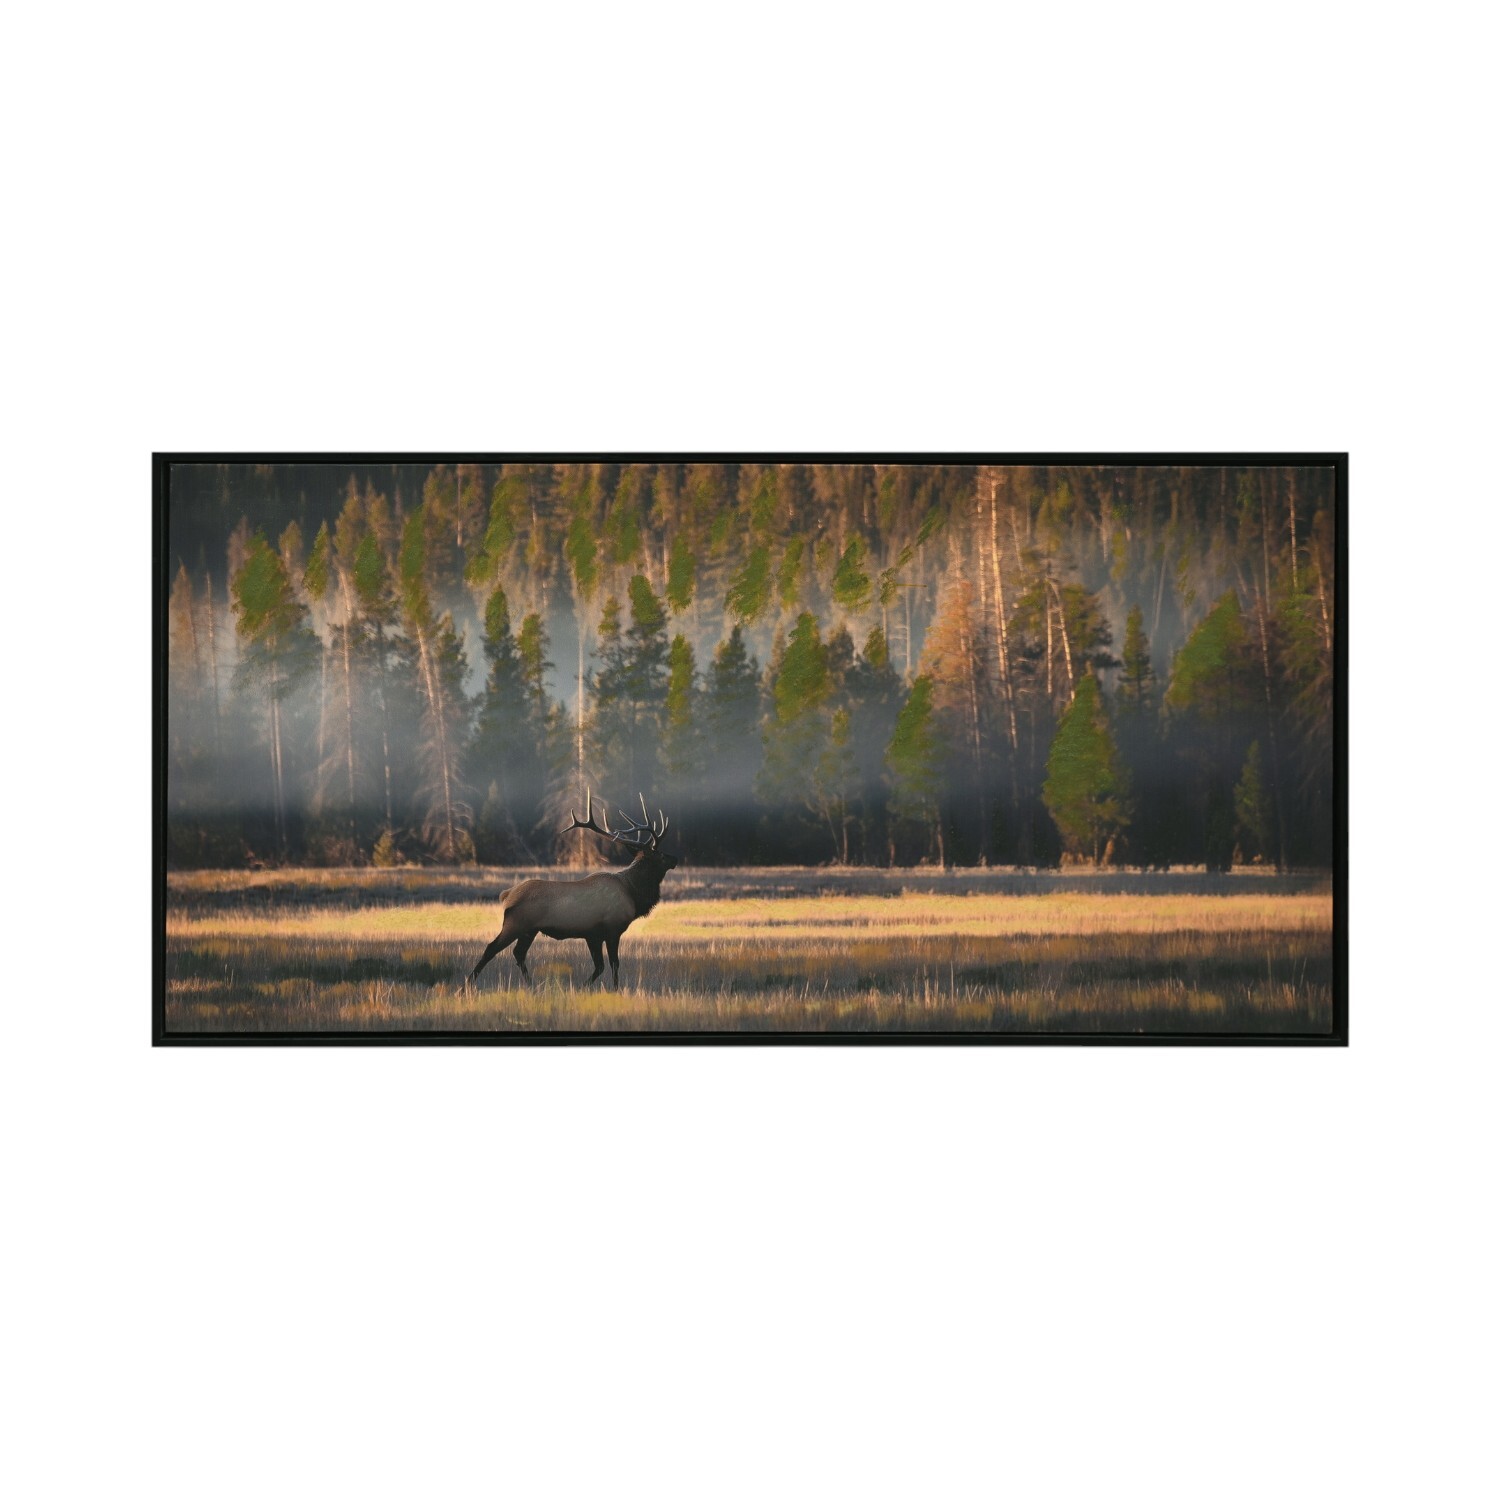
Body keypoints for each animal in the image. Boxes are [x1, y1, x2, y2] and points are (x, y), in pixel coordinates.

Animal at [468, 791, 678, 989]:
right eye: (660, 855)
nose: (675, 858)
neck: (633, 893)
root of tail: (507, 895)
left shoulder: (593, 935)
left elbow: (599, 966)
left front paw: (582, 987)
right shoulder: (612, 929)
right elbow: (614, 964)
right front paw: (616, 989)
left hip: (530, 929)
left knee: (519, 953)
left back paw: (532, 985)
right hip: (516, 923)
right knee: (491, 948)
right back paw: (468, 984)